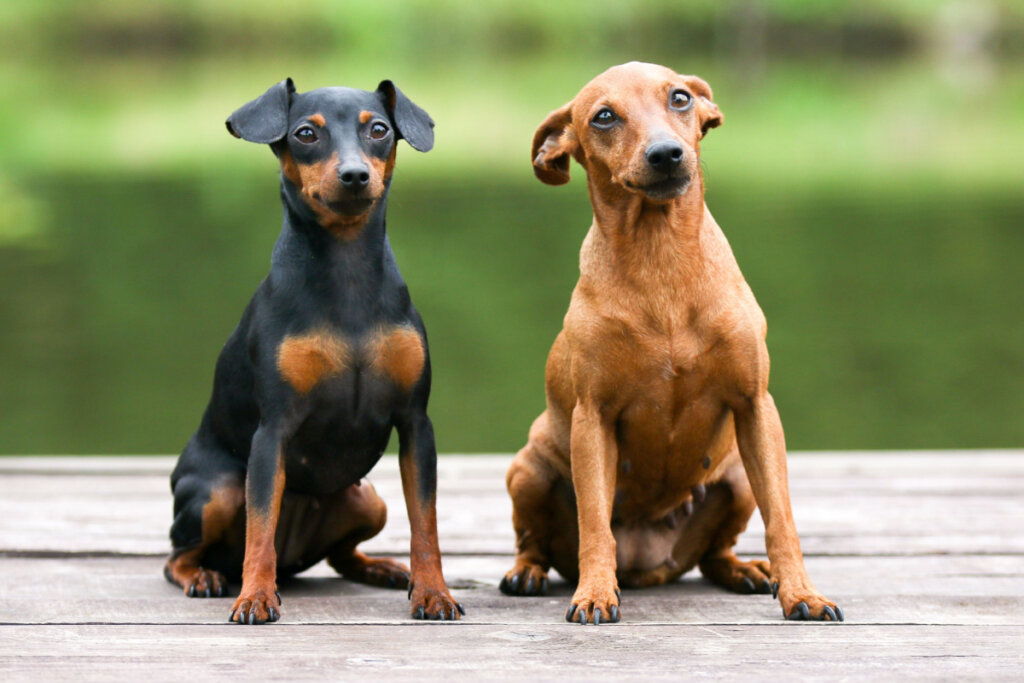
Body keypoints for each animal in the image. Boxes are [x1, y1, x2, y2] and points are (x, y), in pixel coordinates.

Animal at [165, 78, 462, 626]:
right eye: (306, 133)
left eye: (379, 130)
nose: (355, 175)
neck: (347, 273)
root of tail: (295, 556)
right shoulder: (272, 432)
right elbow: (261, 527)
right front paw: (255, 597)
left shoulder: (416, 425)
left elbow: (425, 524)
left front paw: (433, 592)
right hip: (216, 492)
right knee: (182, 553)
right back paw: (206, 577)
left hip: (367, 498)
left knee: (342, 555)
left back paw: (382, 568)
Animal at [499, 62, 843, 626]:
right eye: (604, 116)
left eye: (680, 98)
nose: (666, 153)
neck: (660, 255)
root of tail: (649, 565)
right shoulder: (593, 420)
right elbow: (595, 526)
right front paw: (594, 592)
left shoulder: (755, 407)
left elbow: (783, 521)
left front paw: (802, 593)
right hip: (528, 470)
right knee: (535, 542)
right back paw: (527, 573)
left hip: (737, 478)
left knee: (716, 553)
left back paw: (746, 571)